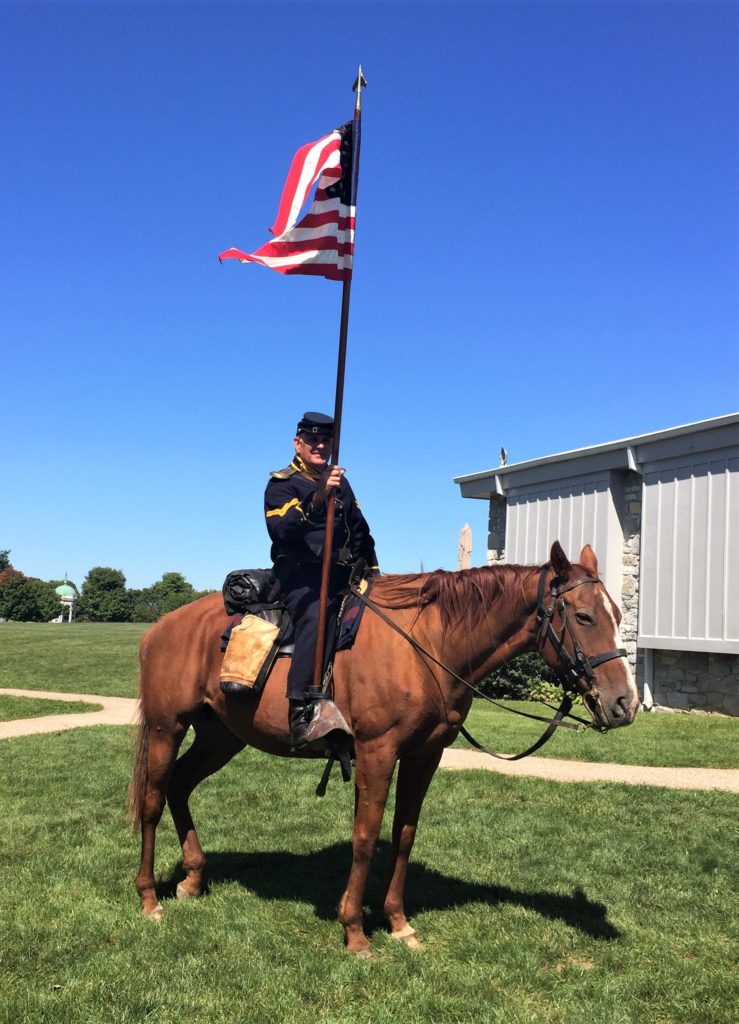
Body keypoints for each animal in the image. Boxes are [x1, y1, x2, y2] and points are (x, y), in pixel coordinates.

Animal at [129, 544, 634, 950]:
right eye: (583, 616)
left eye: (618, 615)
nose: (624, 703)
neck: (428, 645)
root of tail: (160, 628)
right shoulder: (377, 752)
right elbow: (366, 838)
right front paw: (354, 931)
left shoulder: (423, 756)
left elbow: (403, 835)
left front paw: (398, 923)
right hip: (167, 728)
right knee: (152, 800)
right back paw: (149, 898)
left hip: (221, 737)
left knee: (179, 786)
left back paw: (193, 879)